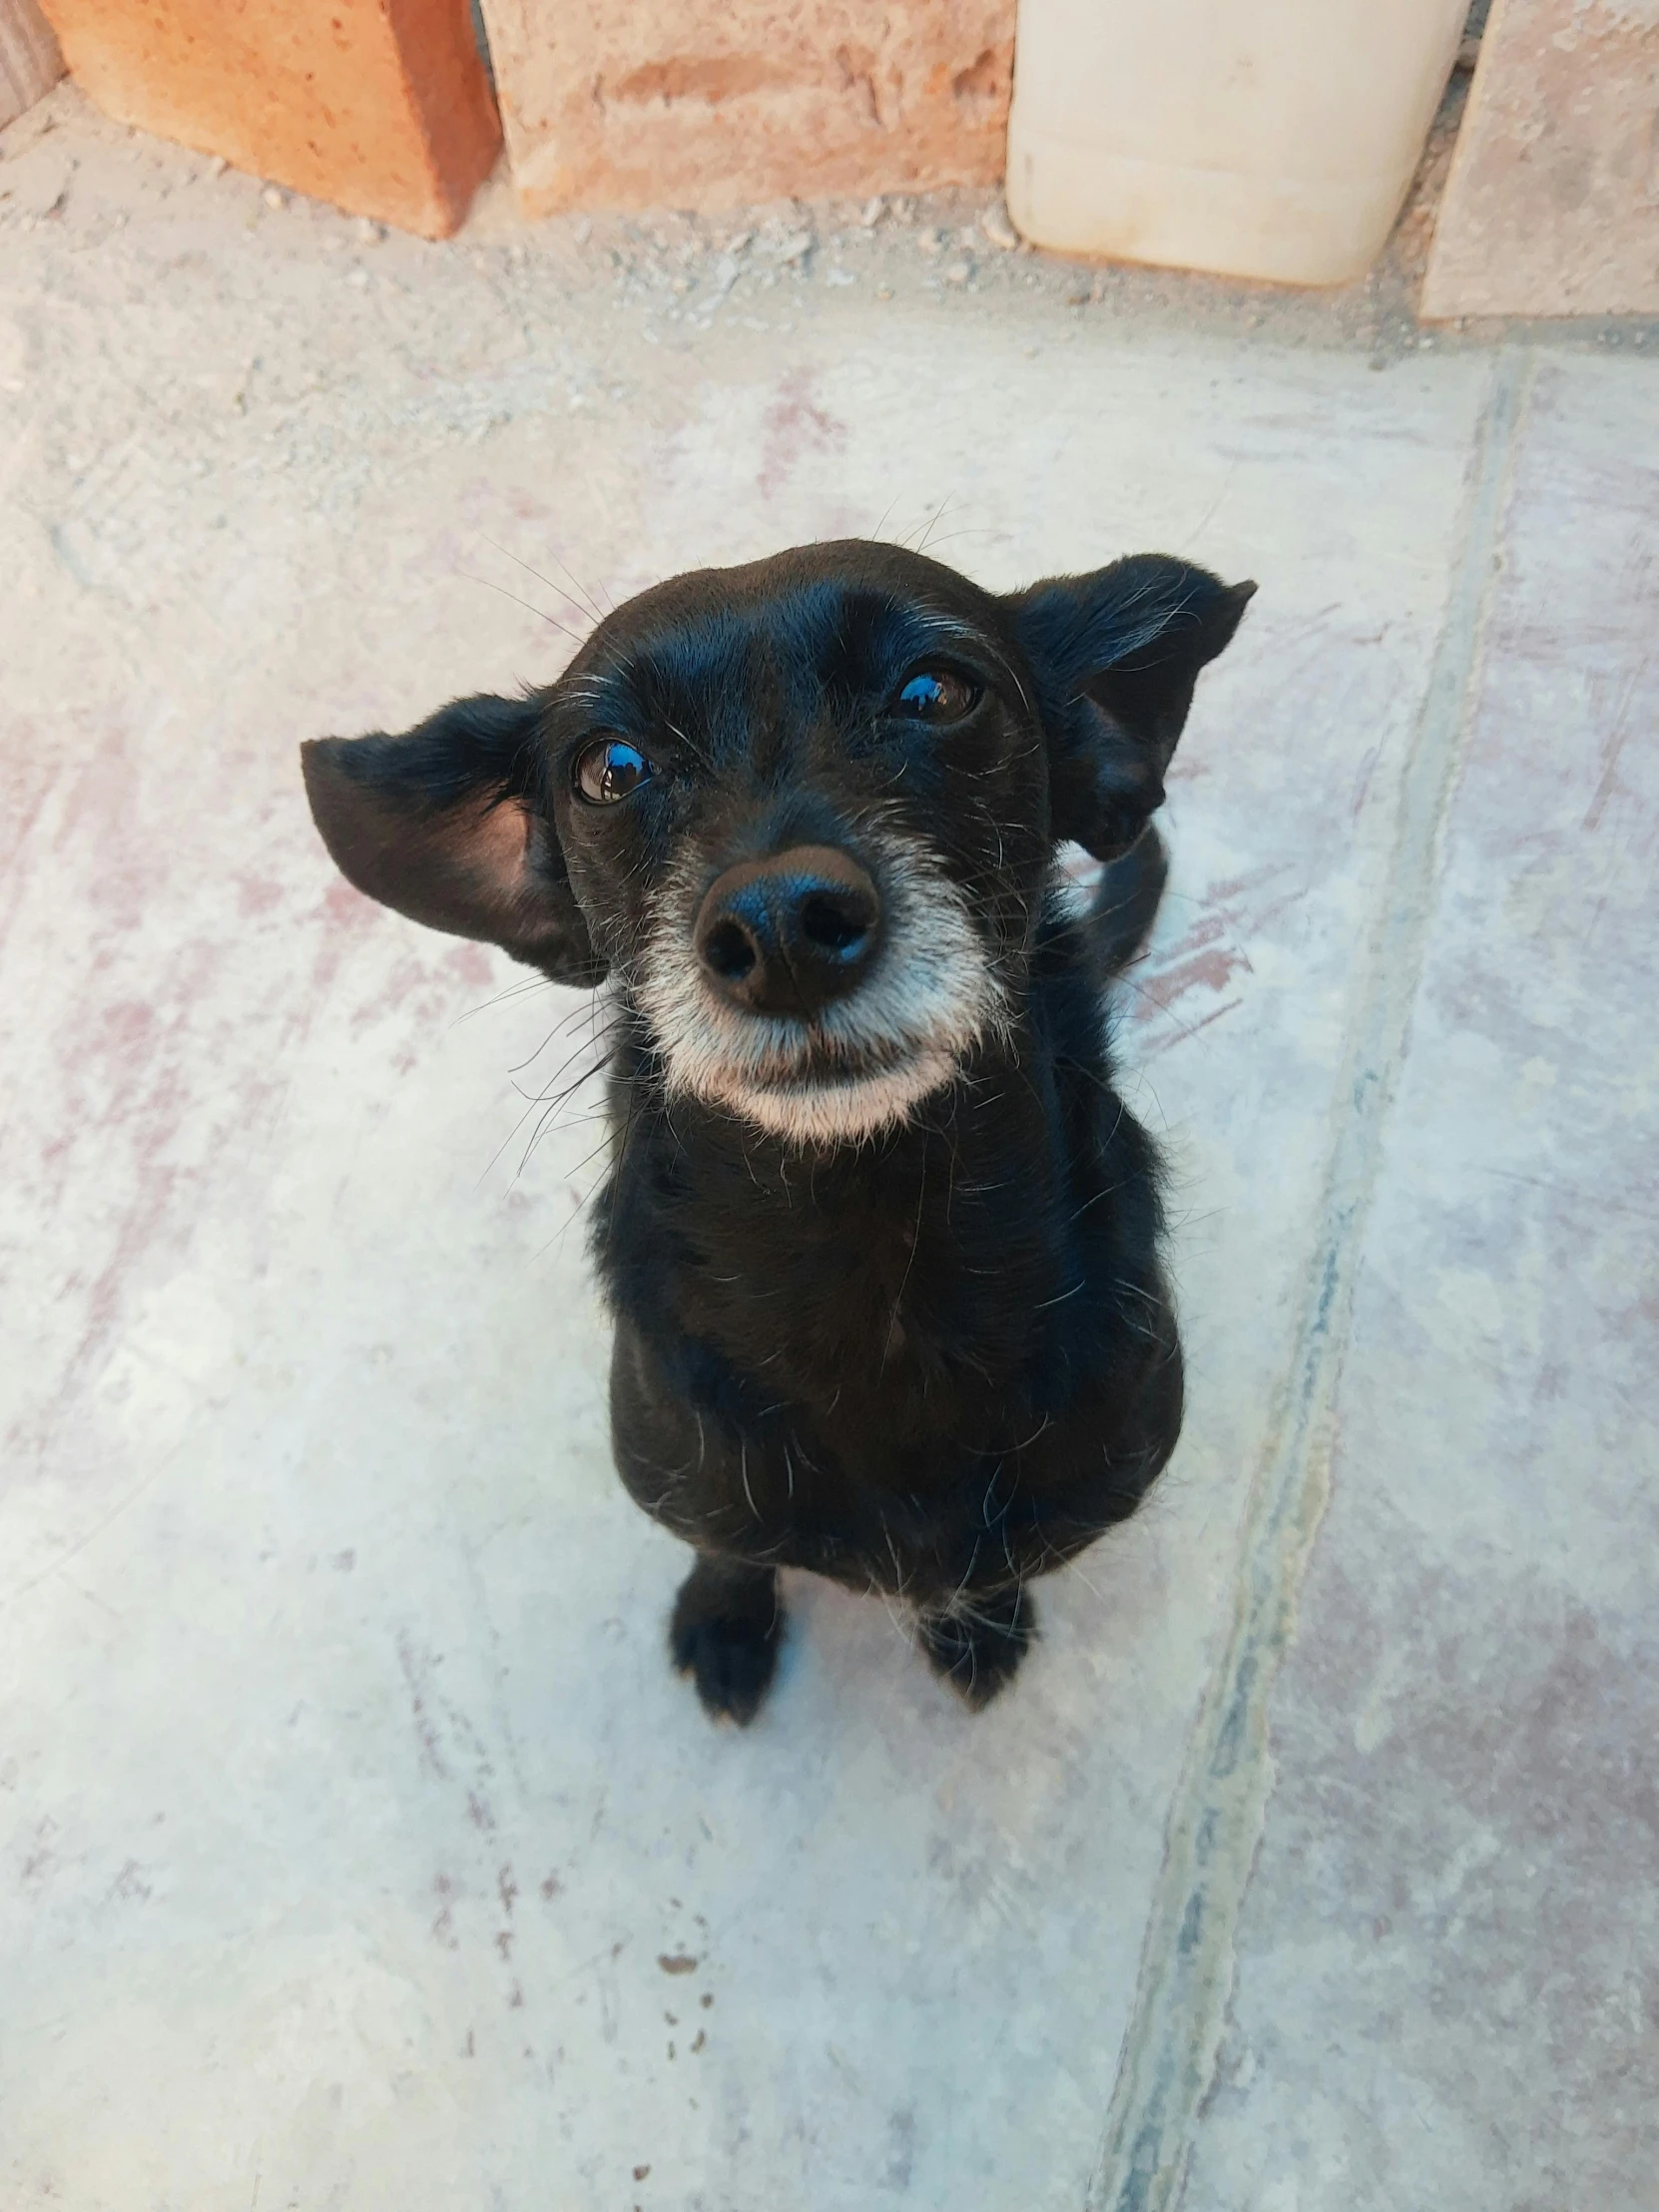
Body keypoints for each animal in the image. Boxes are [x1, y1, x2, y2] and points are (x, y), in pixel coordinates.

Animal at [304, 544, 1256, 1716]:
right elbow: (729, 1545)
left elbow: (987, 1571)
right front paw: (727, 1617)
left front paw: (976, 1623)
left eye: (937, 692)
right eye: (609, 768)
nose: (781, 925)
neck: (869, 1250)